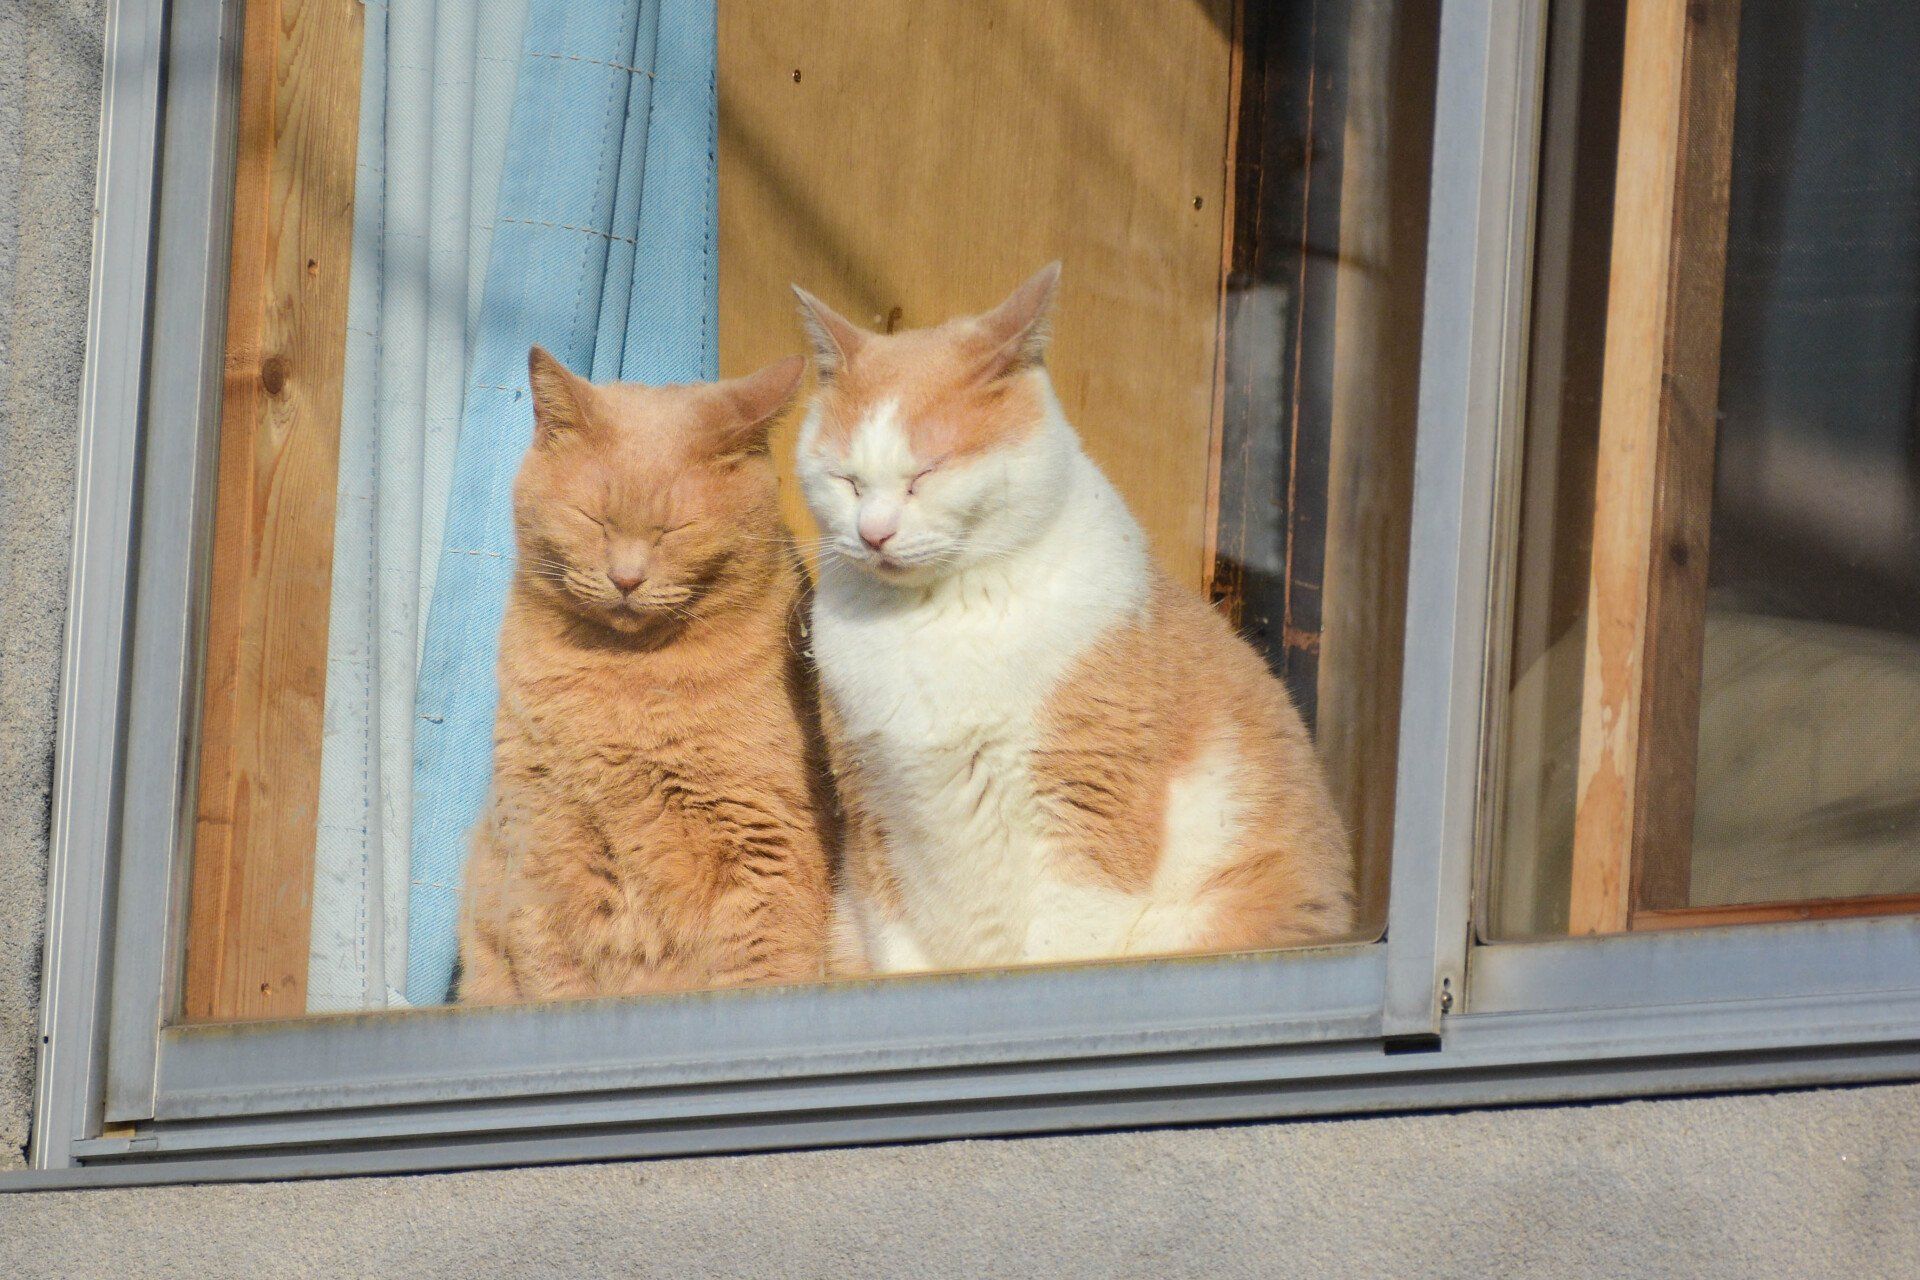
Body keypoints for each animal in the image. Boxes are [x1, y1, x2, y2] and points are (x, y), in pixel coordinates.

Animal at [460, 347, 837, 997]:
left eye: (675, 529)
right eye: (593, 519)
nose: (627, 578)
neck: (627, 680)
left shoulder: (765, 841)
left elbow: (762, 966)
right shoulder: (539, 837)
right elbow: (553, 969)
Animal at [791, 264, 1351, 974]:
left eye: (926, 474)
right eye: (848, 481)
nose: (873, 533)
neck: (933, 617)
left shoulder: (1086, 805)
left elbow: (1058, 947)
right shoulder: (871, 816)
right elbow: (899, 950)